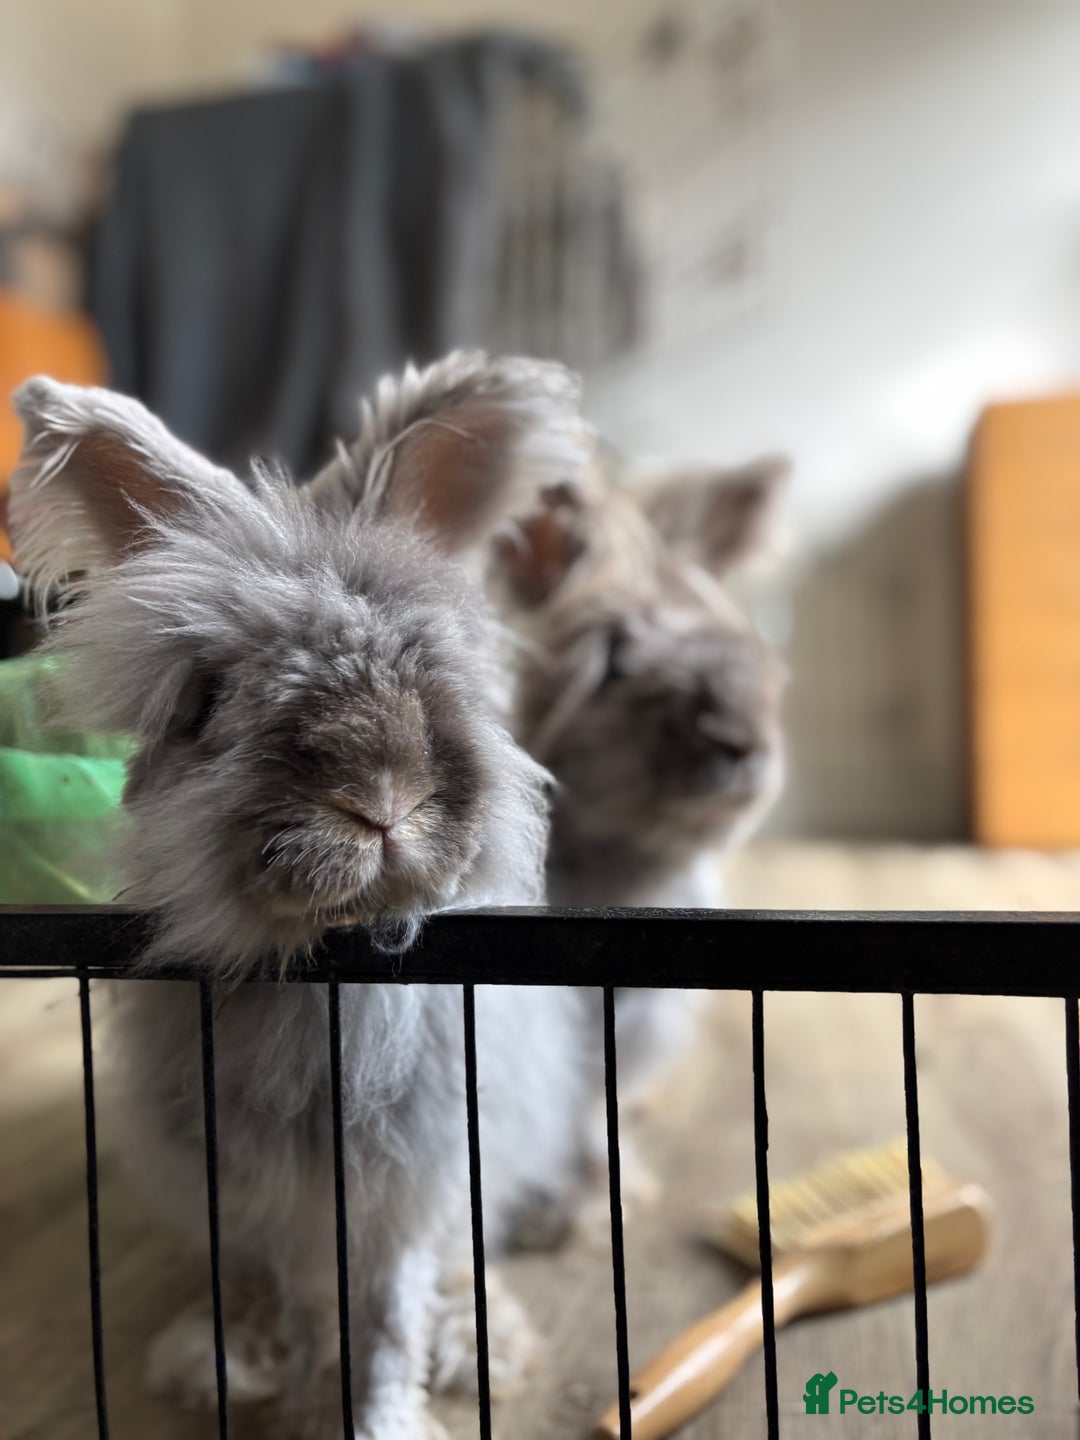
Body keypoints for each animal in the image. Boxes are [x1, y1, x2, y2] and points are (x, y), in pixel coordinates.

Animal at [8, 352, 595, 1440]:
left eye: (439, 664)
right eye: (207, 701)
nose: (380, 791)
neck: (330, 964)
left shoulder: (413, 1186)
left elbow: (390, 1321)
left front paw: (383, 1419)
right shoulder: (265, 1197)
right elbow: (296, 1292)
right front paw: (284, 1377)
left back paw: (479, 1343)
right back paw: (216, 1357)